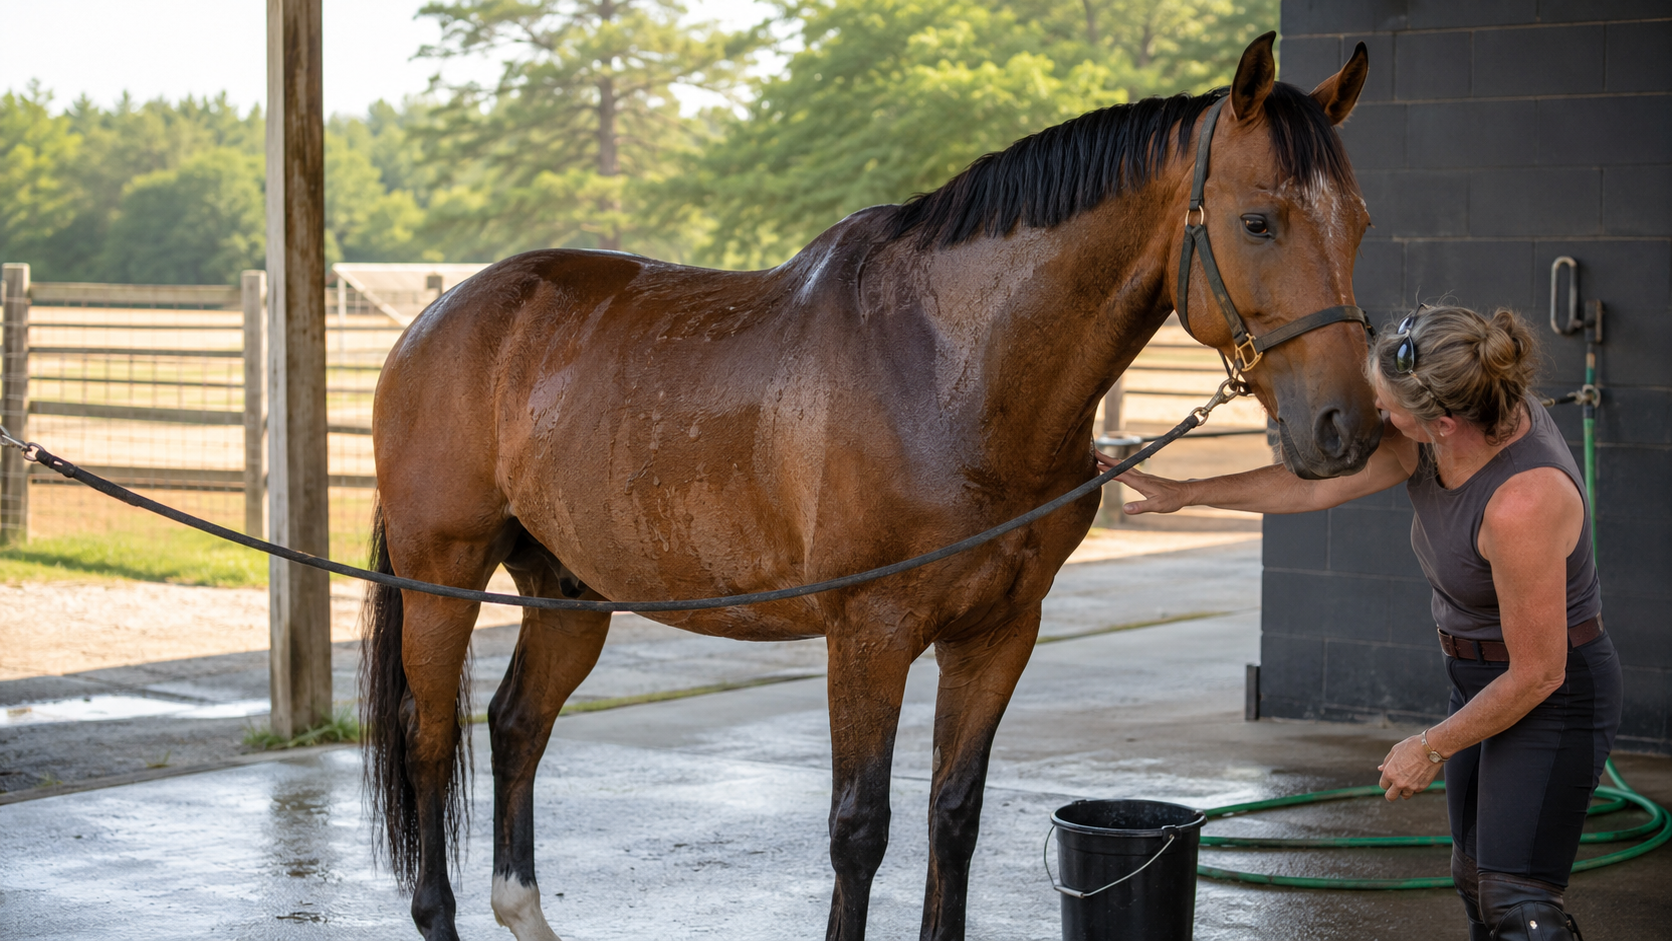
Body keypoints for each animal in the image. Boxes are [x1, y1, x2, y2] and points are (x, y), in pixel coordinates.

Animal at [362, 32, 1375, 941]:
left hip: (569, 591)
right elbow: (860, 829)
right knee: (429, 737)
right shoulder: (868, 633)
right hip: (441, 575)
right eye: (1258, 221)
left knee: (515, 724)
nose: (1347, 427)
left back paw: (524, 910)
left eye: (1359, 221)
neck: (947, 369)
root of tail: (436, 319)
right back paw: (438, 912)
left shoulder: (999, 633)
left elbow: (953, 816)